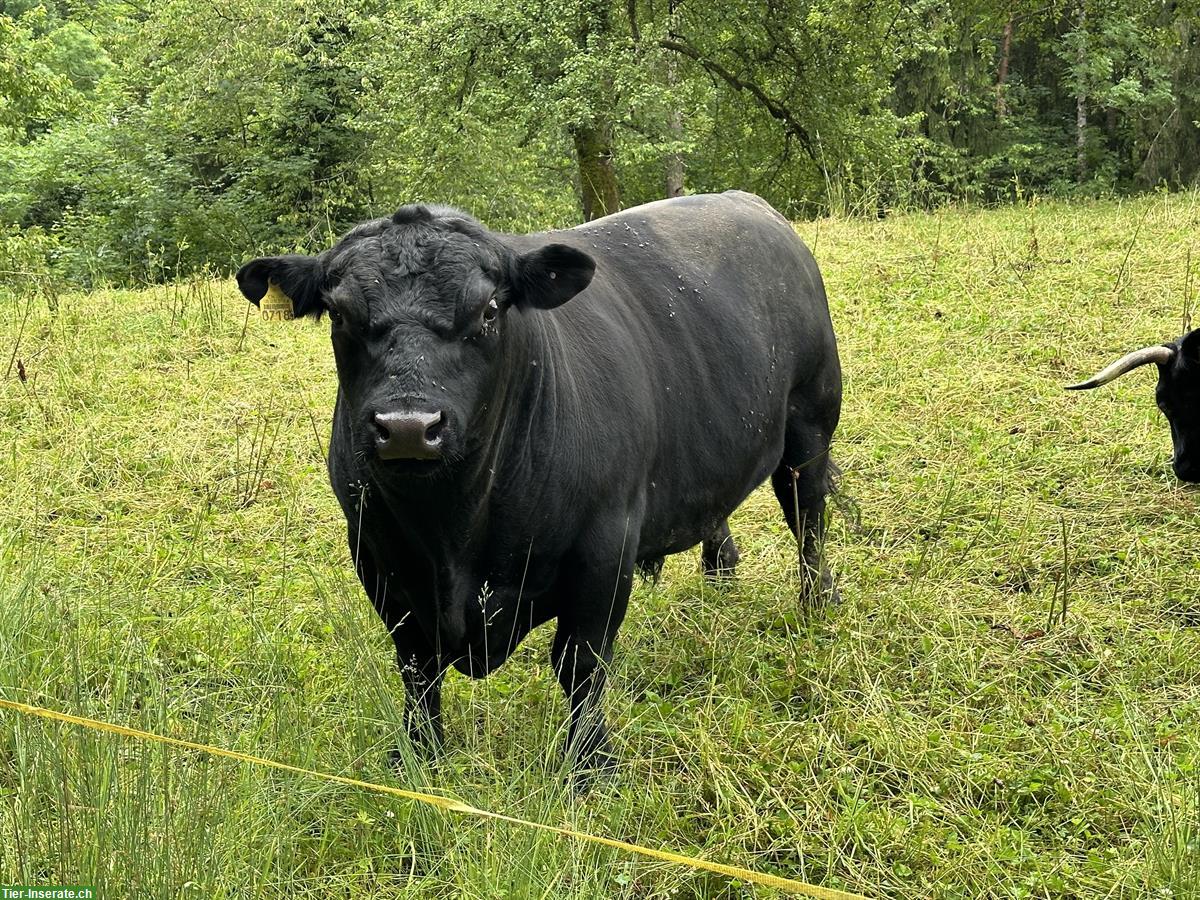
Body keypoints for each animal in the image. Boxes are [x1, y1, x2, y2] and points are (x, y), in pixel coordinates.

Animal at [231, 192, 835, 782]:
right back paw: (720, 578)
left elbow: (581, 664)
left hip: (810, 424)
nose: (407, 426)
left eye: (489, 309)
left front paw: (590, 766)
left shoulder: (604, 546)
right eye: (339, 314)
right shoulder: (377, 556)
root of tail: (756, 207)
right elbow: (416, 667)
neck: (453, 530)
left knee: (808, 519)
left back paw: (817, 605)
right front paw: (420, 758)